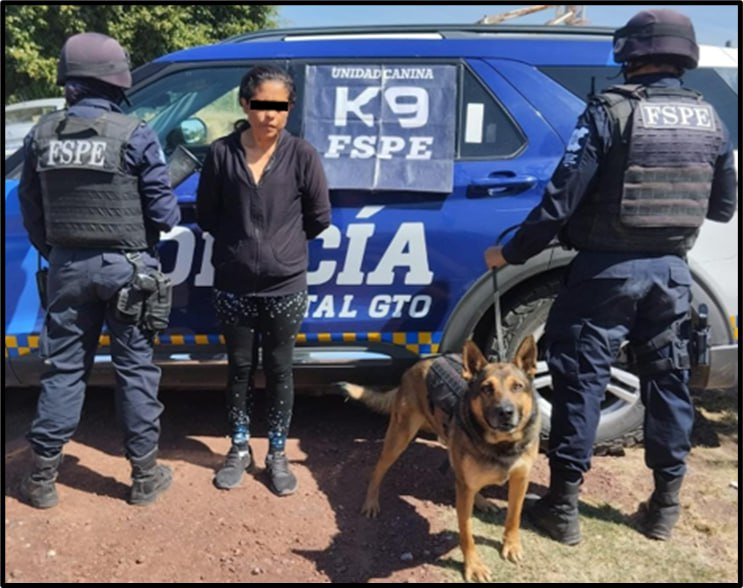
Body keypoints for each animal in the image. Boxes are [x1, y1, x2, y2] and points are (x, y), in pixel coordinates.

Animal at [342, 336, 540, 582]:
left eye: (517, 387)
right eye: (487, 388)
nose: (505, 412)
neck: (502, 444)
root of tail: (416, 364)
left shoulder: (520, 479)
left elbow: (514, 516)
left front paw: (511, 545)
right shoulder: (465, 491)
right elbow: (466, 533)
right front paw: (473, 566)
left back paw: (481, 500)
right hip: (399, 438)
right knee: (378, 470)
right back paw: (371, 501)